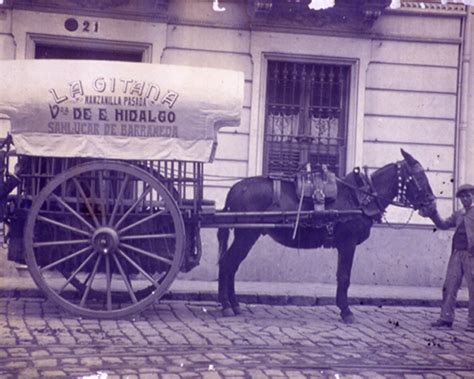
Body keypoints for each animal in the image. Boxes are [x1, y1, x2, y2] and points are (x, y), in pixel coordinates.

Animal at [217, 149, 436, 324]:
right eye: (419, 177)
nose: (432, 204)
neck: (360, 198)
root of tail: (235, 189)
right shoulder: (348, 244)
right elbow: (345, 277)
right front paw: (346, 311)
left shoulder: (343, 245)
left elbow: (341, 276)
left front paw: (342, 307)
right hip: (246, 235)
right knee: (228, 264)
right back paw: (227, 305)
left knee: (230, 265)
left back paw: (233, 305)